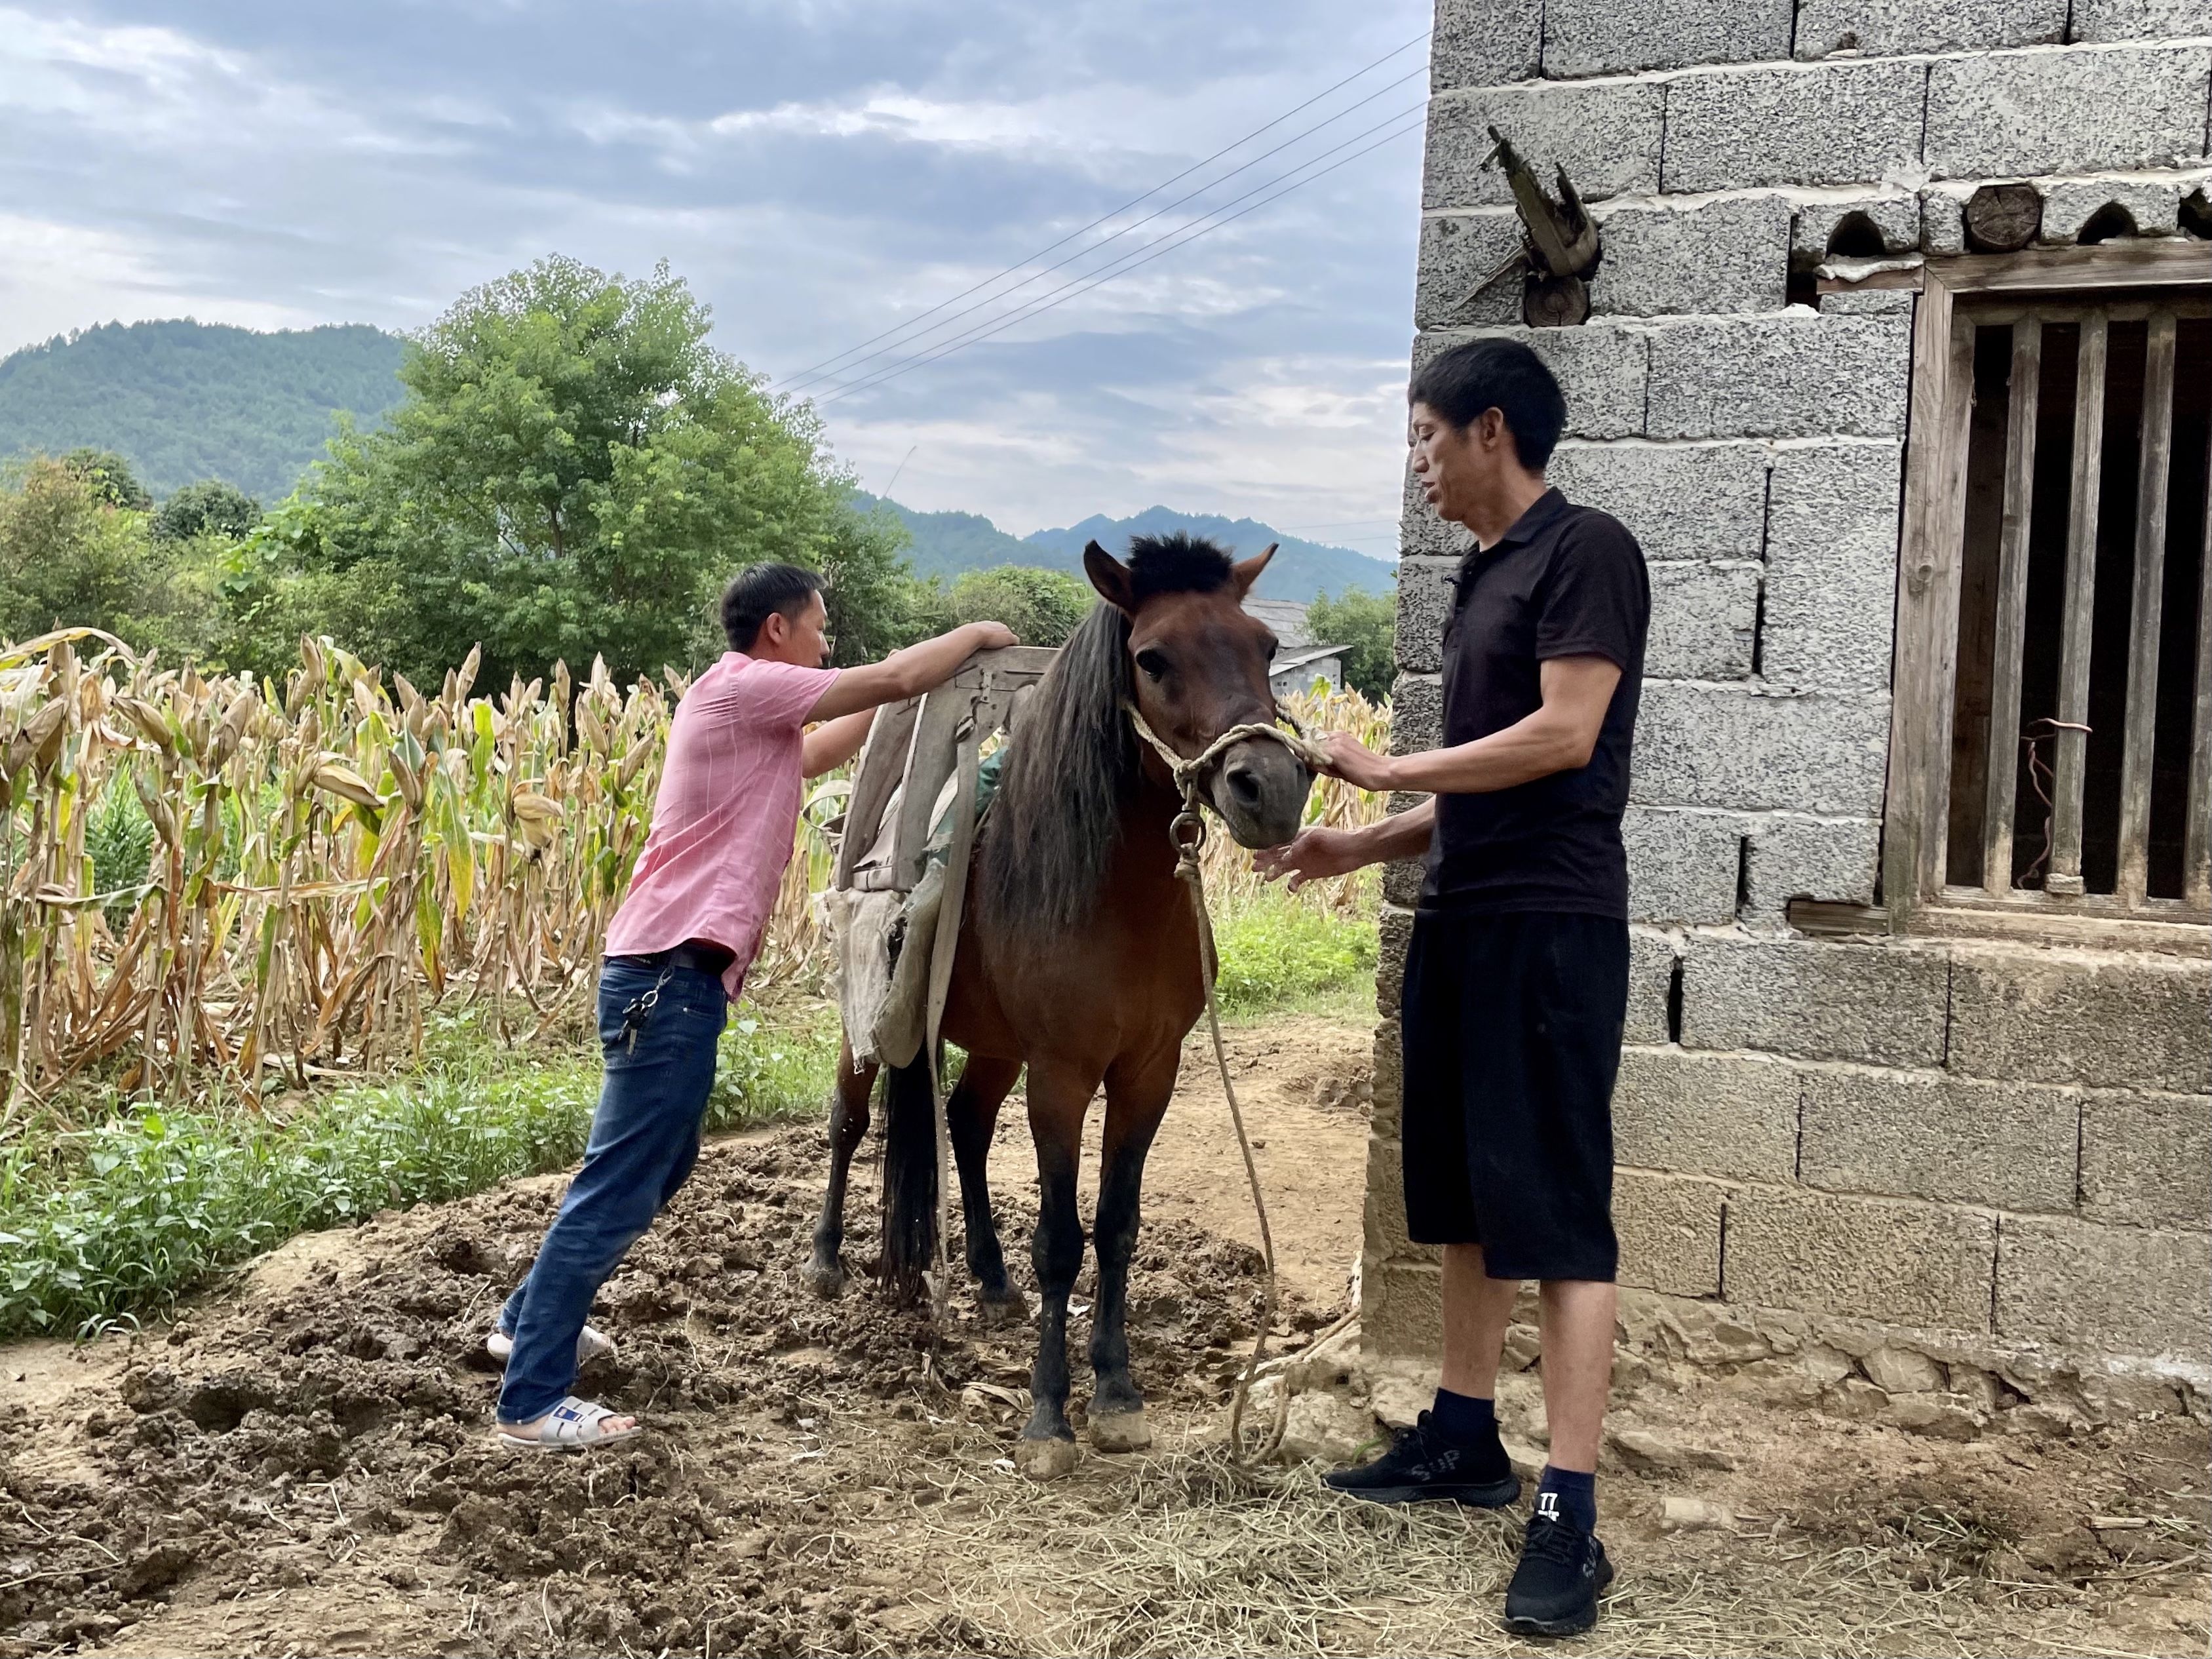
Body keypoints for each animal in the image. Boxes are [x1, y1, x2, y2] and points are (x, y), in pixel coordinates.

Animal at [800, 533, 1300, 1477]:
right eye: (1152, 657)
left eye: (1266, 646)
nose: (1272, 787)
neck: (1112, 896)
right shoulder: (1063, 1076)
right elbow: (1061, 1240)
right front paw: (1047, 1414)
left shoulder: (1148, 1072)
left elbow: (1115, 1226)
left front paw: (1115, 1391)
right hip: (867, 1023)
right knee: (848, 1123)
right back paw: (824, 1261)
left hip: (997, 1049)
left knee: (962, 1122)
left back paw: (991, 1278)